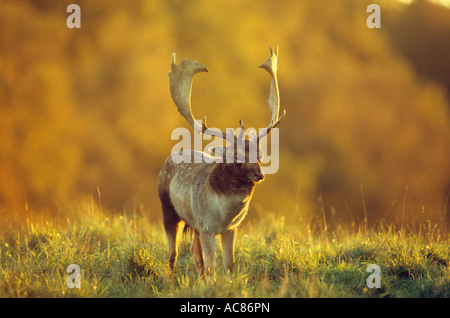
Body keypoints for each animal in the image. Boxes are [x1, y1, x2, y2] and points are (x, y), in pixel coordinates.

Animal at [157, 46, 284, 278]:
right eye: (236, 156)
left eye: (260, 154)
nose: (259, 174)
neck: (224, 215)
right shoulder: (207, 226)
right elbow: (212, 266)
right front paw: (212, 283)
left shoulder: (231, 229)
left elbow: (229, 264)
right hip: (168, 208)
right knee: (173, 253)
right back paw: (169, 279)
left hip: (194, 225)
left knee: (194, 253)